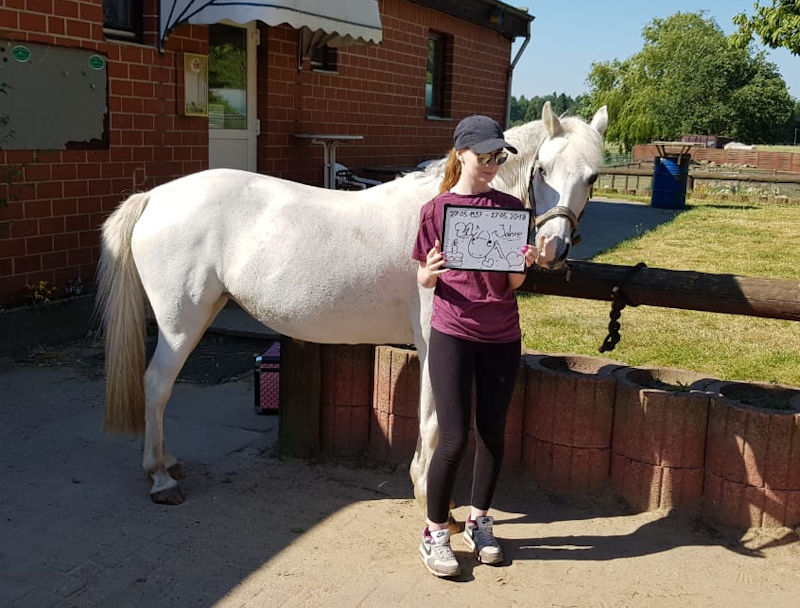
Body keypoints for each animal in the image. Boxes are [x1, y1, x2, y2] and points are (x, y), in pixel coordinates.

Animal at [97, 101, 608, 505]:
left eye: (593, 177)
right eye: (541, 169)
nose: (551, 248)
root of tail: (155, 197)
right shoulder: (433, 340)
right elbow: (434, 419)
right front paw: (428, 494)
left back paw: (168, 462)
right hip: (180, 322)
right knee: (157, 385)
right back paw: (160, 478)